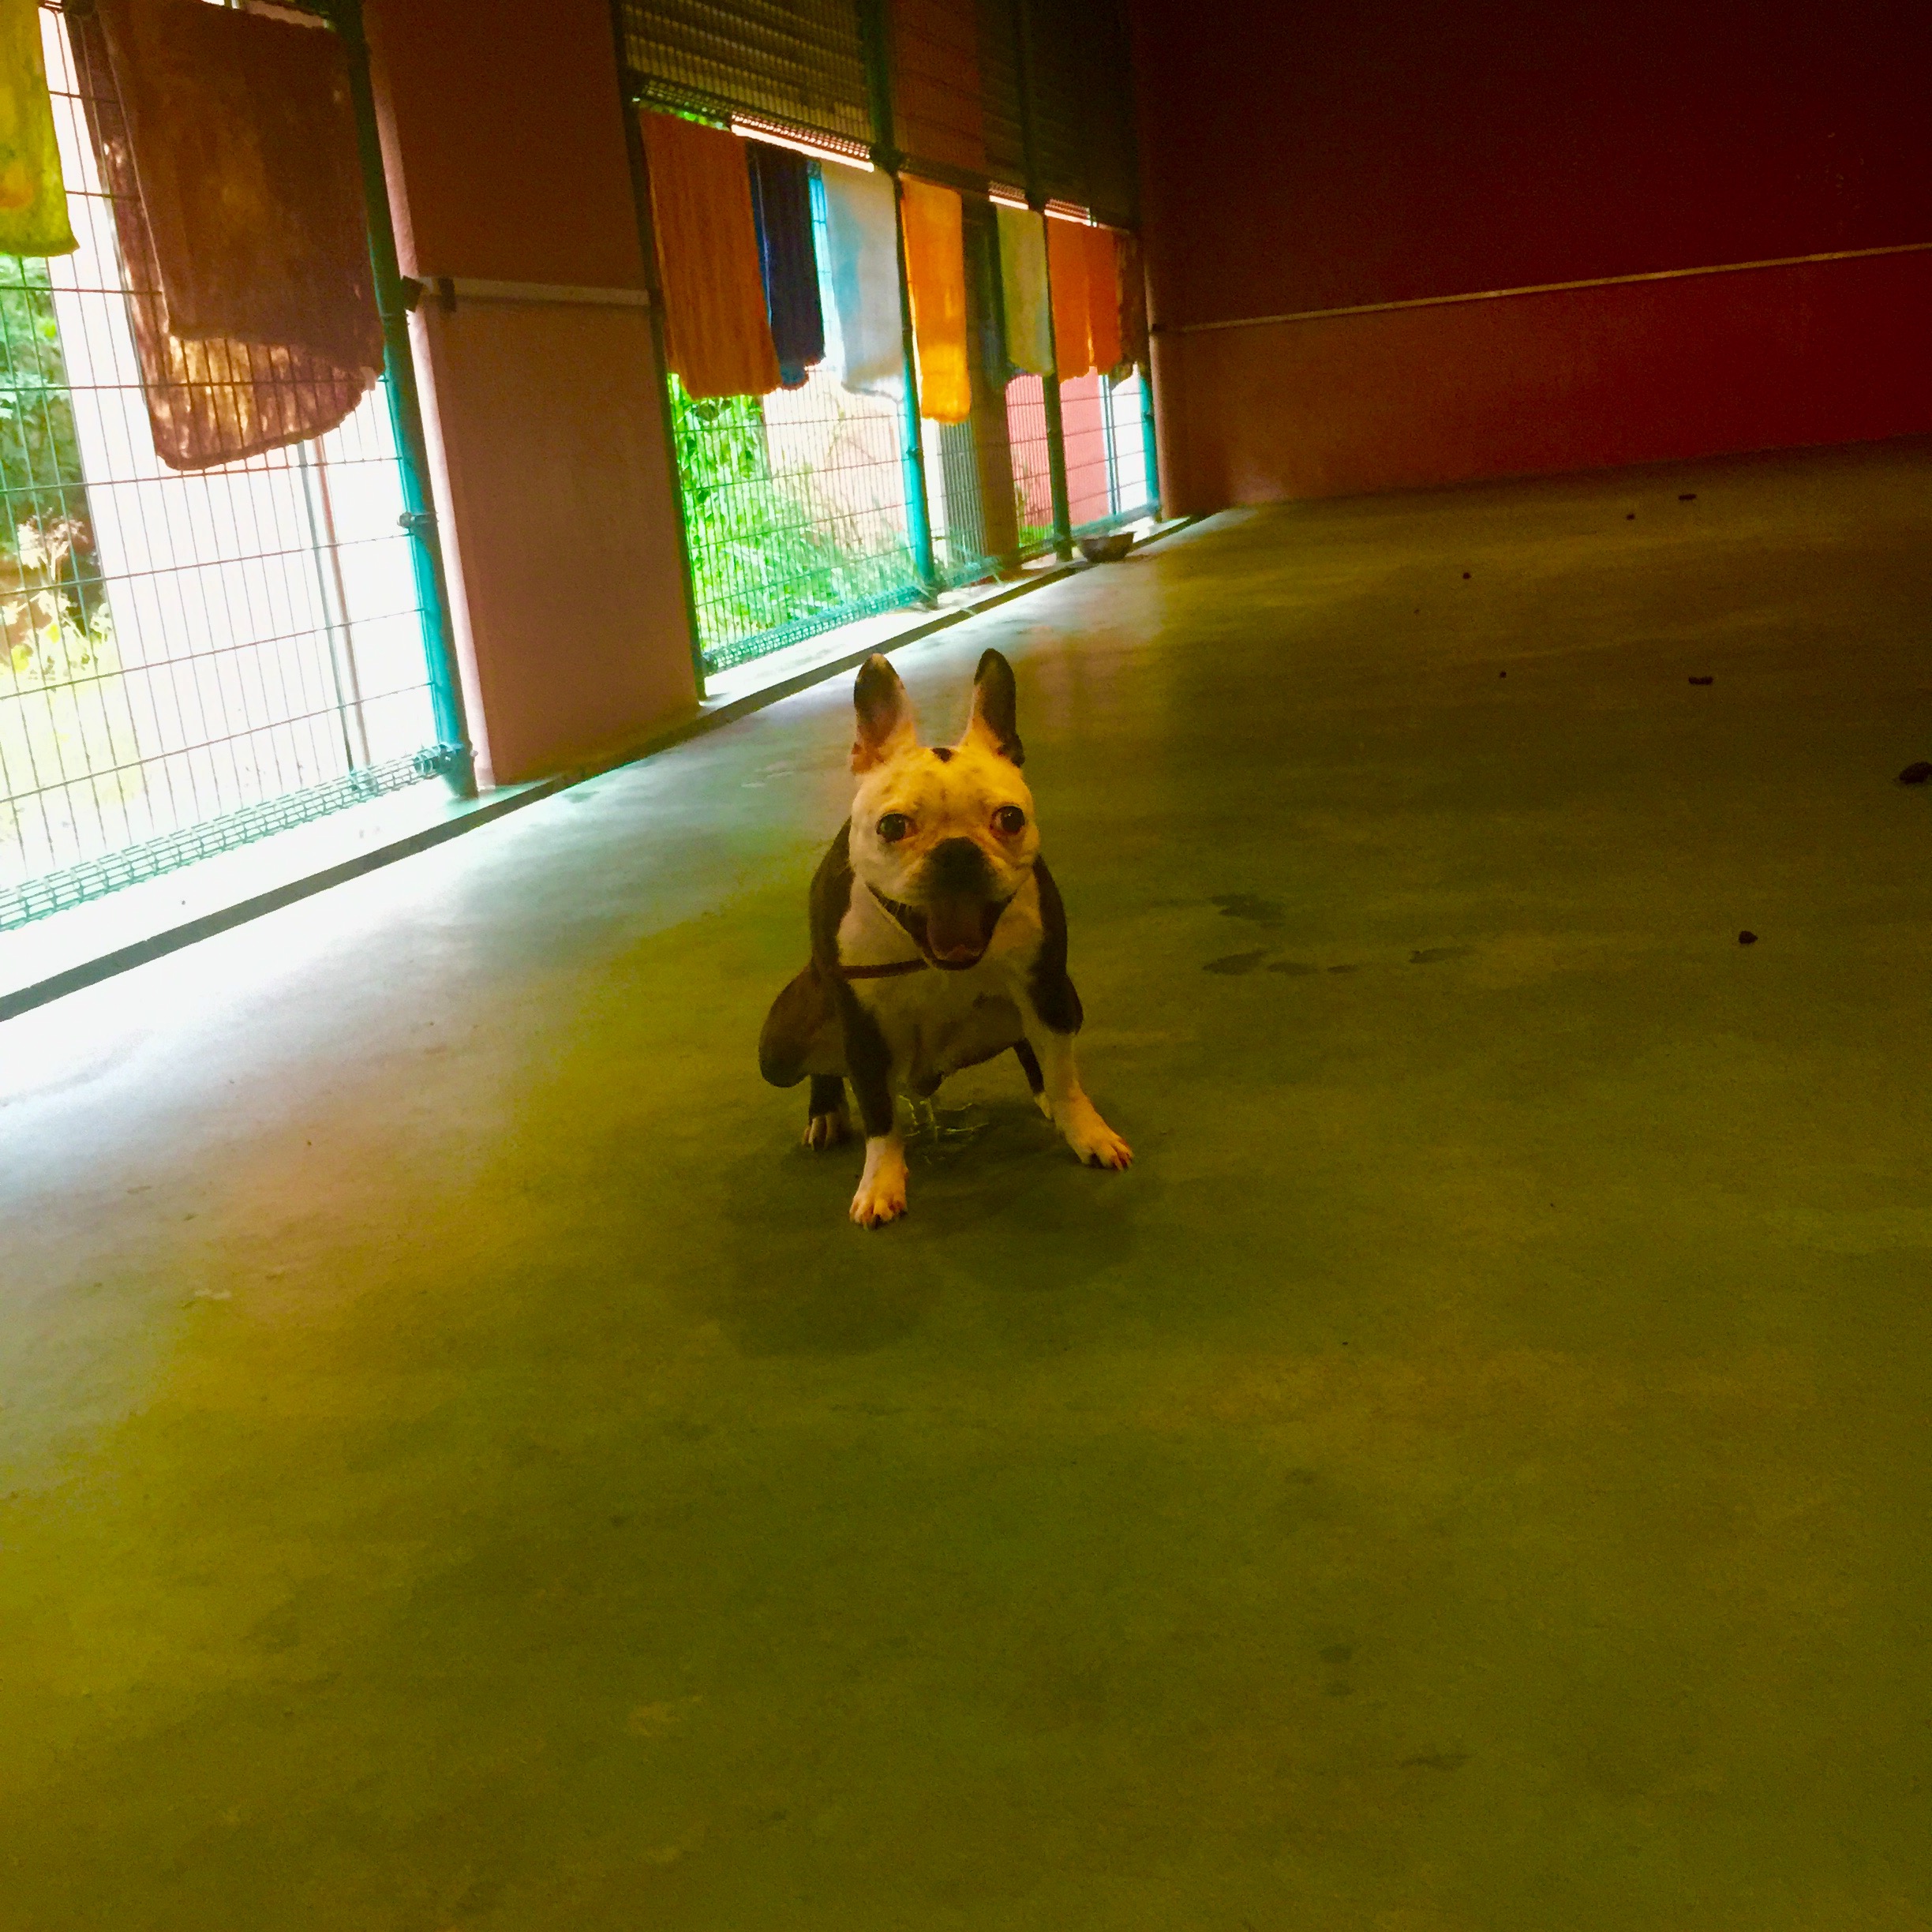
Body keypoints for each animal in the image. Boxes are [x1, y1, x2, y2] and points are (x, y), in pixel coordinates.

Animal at [759, 648, 1132, 1227]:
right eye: (893, 826)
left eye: (1010, 819)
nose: (957, 852)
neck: (929, 955)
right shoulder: (861, 1028)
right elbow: (879, 1113)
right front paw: (881, 1180)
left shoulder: (1046, 989)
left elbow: (1064, 1074)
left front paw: (1084, 1130)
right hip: (779, 1046)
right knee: (825, 1068)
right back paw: (826, 1111)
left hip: (1058, 999)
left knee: (1030, 1045)